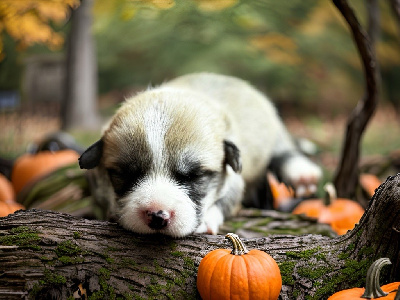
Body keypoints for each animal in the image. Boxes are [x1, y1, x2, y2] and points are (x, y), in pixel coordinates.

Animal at [79, 72, 322, 237]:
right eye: (125, 174)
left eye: (193, 176)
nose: (157, 215)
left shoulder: (235, 180)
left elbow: (224, 200)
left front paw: (206, 220)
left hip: (272, 130)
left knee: (283, 150)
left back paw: (302, 174)